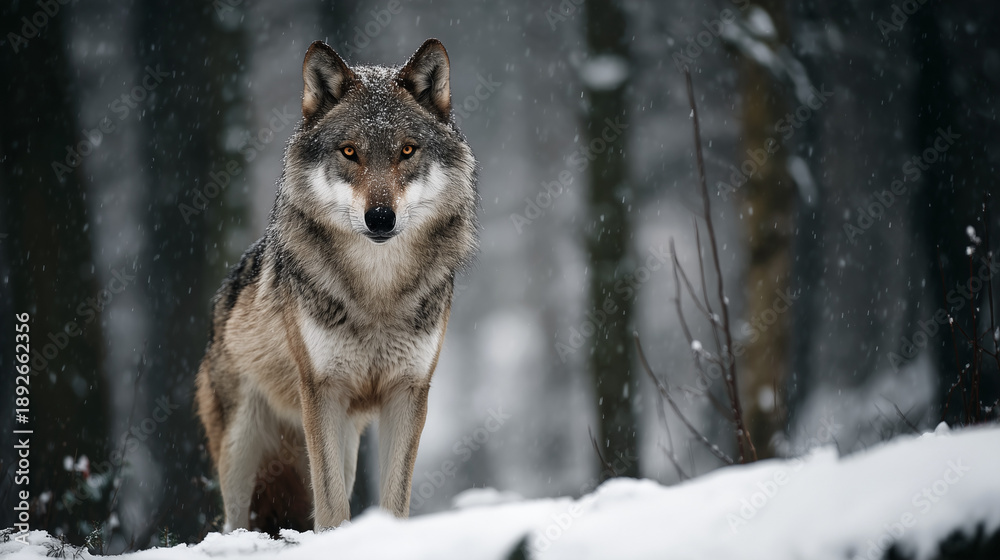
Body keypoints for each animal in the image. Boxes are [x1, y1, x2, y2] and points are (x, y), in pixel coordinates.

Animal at [195, 38, 477, 533]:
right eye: (349, 152)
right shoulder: (322, 391)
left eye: (407, 150)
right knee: (234, 521)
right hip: (242, 445)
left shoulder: (409, 392)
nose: (380, 217)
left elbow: (394, 498)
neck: (378, 291)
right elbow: (328, 505)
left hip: (344, 437)